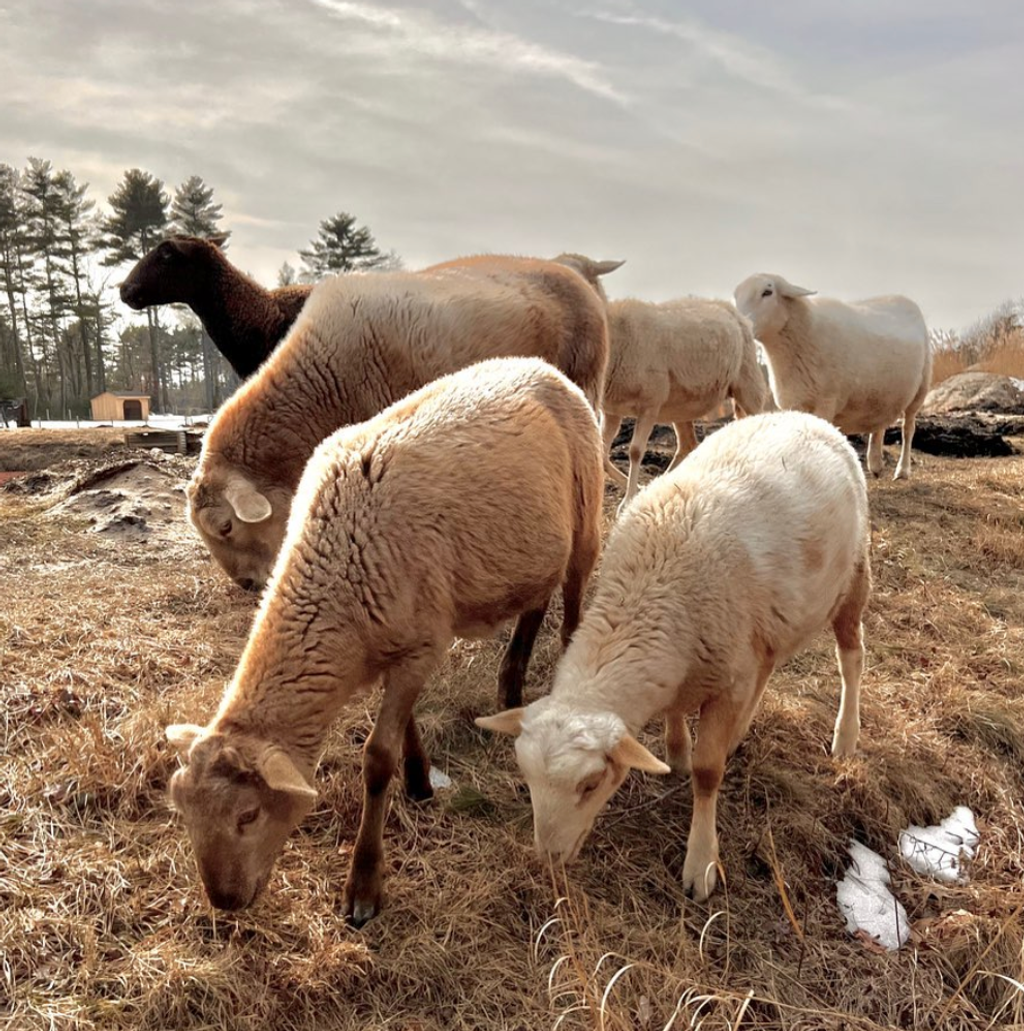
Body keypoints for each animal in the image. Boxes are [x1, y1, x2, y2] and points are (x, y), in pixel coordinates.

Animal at [163, 356, 602, 927]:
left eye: (249, 814)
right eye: (183, 811)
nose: (225, 902)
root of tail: (543, 366)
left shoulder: (421, 646)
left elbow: (376, 759)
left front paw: (364, 886)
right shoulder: (392, 641)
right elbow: (403, 726)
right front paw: (418, 781)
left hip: (587, 514)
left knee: (571, 605)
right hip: (533, 551)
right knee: (534, 603)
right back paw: (509, 688)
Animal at [478, 410, 870, 903]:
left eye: (591, 784)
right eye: (526, 778)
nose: (548, 859)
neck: (650, 589)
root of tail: (807, 417)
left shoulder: (727, 675)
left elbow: (707, 773)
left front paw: (701, 862)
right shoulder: (703, 660)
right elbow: (676, 712)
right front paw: (677, 751)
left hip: (853, 576)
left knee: (851, 658)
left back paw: (845, 736)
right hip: (764, 629)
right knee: (768, 666)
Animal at [730, 274, 932, 482]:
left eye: (767, 292)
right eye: (736, 296)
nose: (740, 324)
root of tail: (904, 299)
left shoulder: (826, 401)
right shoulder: (794, 403)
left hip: (921, 388)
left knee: (908, 428)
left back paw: (902, 470)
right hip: (883, 391)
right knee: (880, 422)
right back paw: (875, 463)